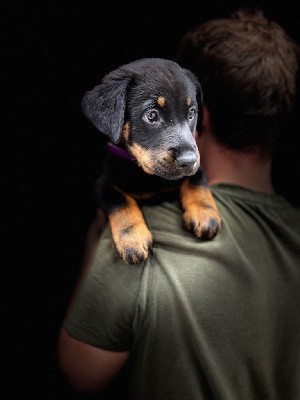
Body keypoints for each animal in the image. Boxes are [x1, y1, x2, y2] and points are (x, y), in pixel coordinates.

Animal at [81, 57, 220, 264]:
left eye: (191, 113)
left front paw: (205, 213)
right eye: (152, 115)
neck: (150, 178)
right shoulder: (103, 183)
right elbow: (119, 201)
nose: (188, 160)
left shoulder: (197, 165)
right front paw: (132, 239)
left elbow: (197, 179)